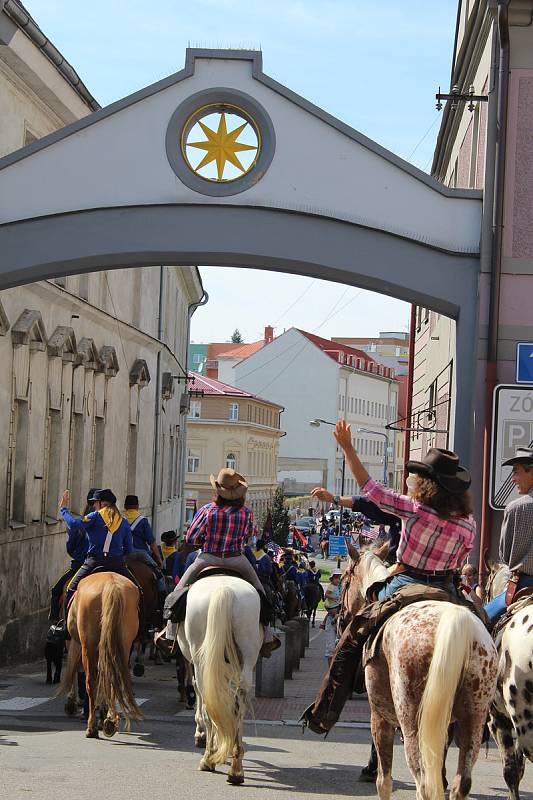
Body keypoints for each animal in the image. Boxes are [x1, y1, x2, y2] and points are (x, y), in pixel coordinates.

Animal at [59, 576, 142, 736]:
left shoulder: (73, 642)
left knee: (91, 681)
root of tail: (111, 586)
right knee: (114, 677)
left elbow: (73, 669)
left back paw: (92, 726)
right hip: (122, 644)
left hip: (88, 645)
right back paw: (109, 721)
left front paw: (72, 702)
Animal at [178, 576, 262, 788]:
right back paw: (236, 767)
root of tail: (224, 590)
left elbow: (200, 697)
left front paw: (203, 737)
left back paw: (208, 759)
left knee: (208, 703)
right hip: (247, 657)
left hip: (202, 662)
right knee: (238, 703)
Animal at [340, 544, 498, 800]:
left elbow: (384, 780)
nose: (341, 617)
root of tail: (456, 622)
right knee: (460, 783)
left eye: (345, 578)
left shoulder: (380, 715)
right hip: (474, 716)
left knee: (423, 782)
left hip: (412, 719)